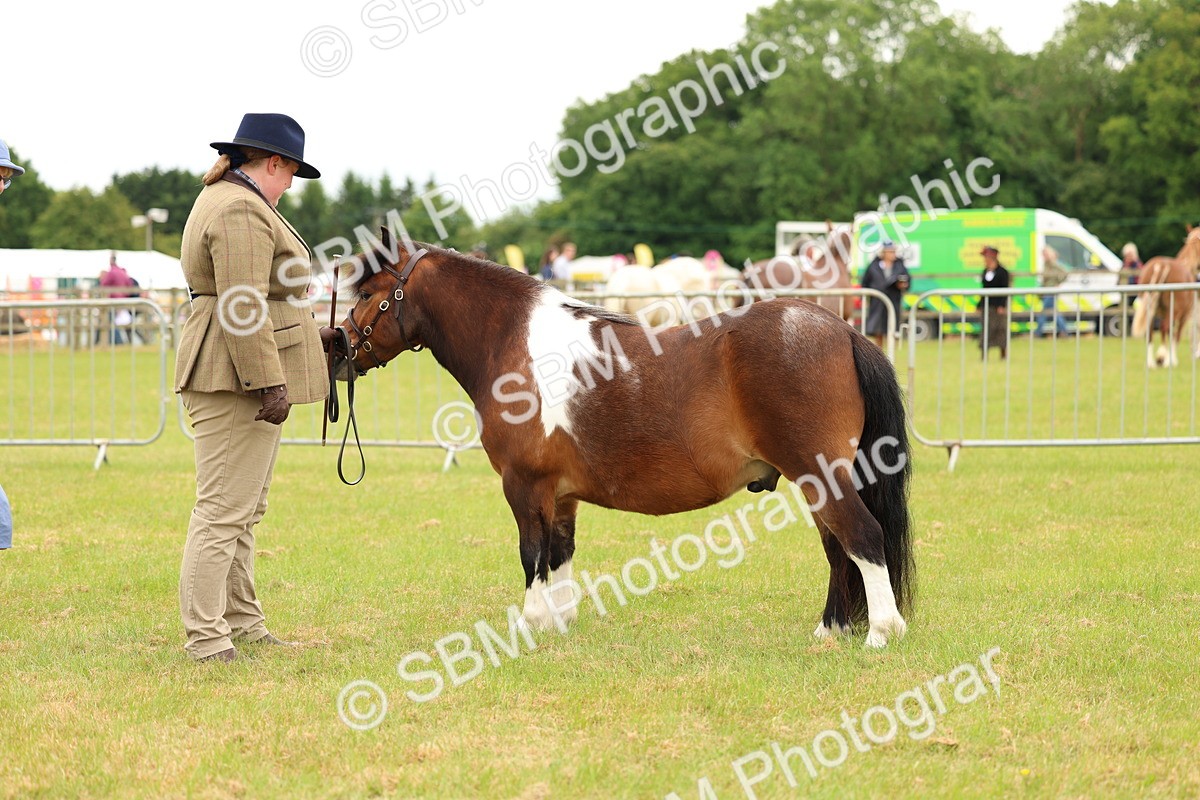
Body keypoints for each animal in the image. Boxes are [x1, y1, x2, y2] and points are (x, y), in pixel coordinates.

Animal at [335, 230, 915, 648]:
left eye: (367, 294)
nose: (336, 349)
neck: (515, 343)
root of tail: (843, 330)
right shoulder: (561, 495)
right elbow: (559, 556)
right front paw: (559, 624)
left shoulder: (525, 485)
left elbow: (530, 555)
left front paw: (529, 626)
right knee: (839, 550)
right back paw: (830, 630)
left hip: (820, 475)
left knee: (861, 538)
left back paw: (881, 634)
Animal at [1132, 227, 1200, 368]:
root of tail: (1161, 265)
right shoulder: (1184, 315)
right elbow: (1176, 335)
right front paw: (1171, 359)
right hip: (1175, 311)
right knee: (1165, 328)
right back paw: (1163, 358)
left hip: (1151, 309)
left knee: (1150, 332)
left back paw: (1151, 363)